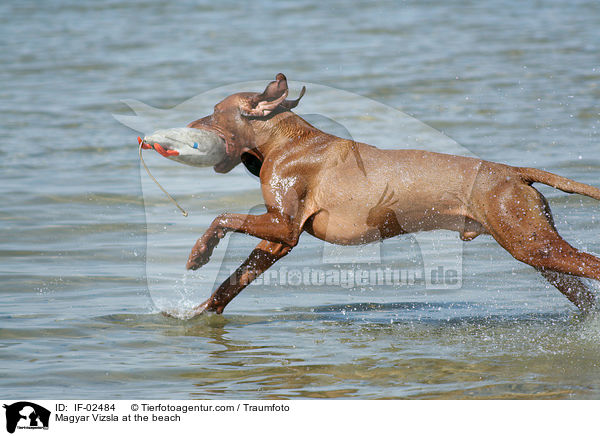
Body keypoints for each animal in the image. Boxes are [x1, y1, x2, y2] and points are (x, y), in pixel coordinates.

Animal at [184, 73, 600, 316]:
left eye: (214, 111)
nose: (188, 125)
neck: (284, 140)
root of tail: (514, 172)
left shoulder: (283, 224)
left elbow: (222, 217)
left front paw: (199, 253)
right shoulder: (279, 239)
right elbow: (233, 280)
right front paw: (201, 309)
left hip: (532, 244)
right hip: (536, 247)